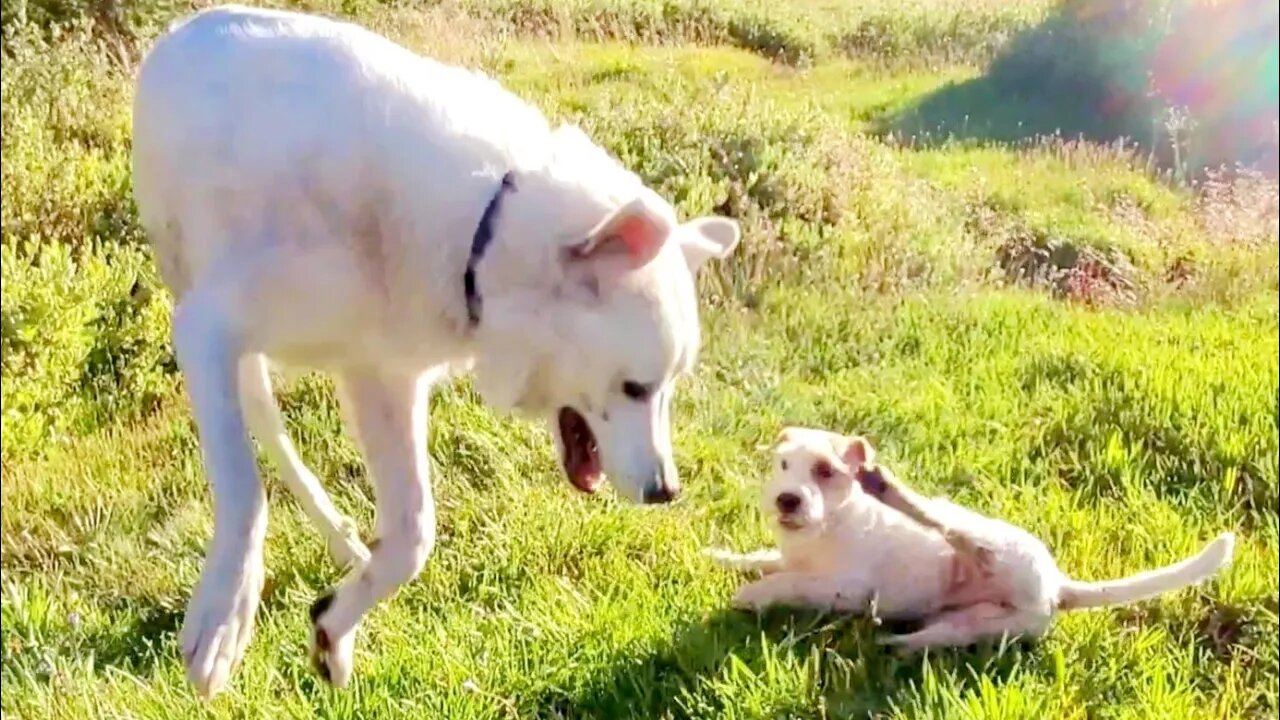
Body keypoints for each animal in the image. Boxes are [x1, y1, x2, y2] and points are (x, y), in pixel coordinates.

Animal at [132, 4, 742, 696]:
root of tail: (182, 31)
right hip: (205, 310)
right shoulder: (207, 329)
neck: (481, 233)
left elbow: (414, 535)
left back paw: (343, 541)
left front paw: (334, 626)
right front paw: (224, 617)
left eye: (668, 389)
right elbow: (243, 491)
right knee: (260, 421)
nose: (667, 491)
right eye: (637, 388)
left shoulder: (382, 380)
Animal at [711, 425, 1239, 650]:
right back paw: (892, 645)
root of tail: (1057, 586)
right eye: (783, 465)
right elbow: (767, 558)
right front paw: (724, 557)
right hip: (977, 624)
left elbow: (789, 583)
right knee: (933, 637)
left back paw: (889, 487)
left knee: (952, 528)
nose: (786, 500)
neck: (829, 525)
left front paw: (752, 594)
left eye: (825, 471)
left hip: (991, 545)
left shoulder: (847, 588)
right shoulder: (793, 557)